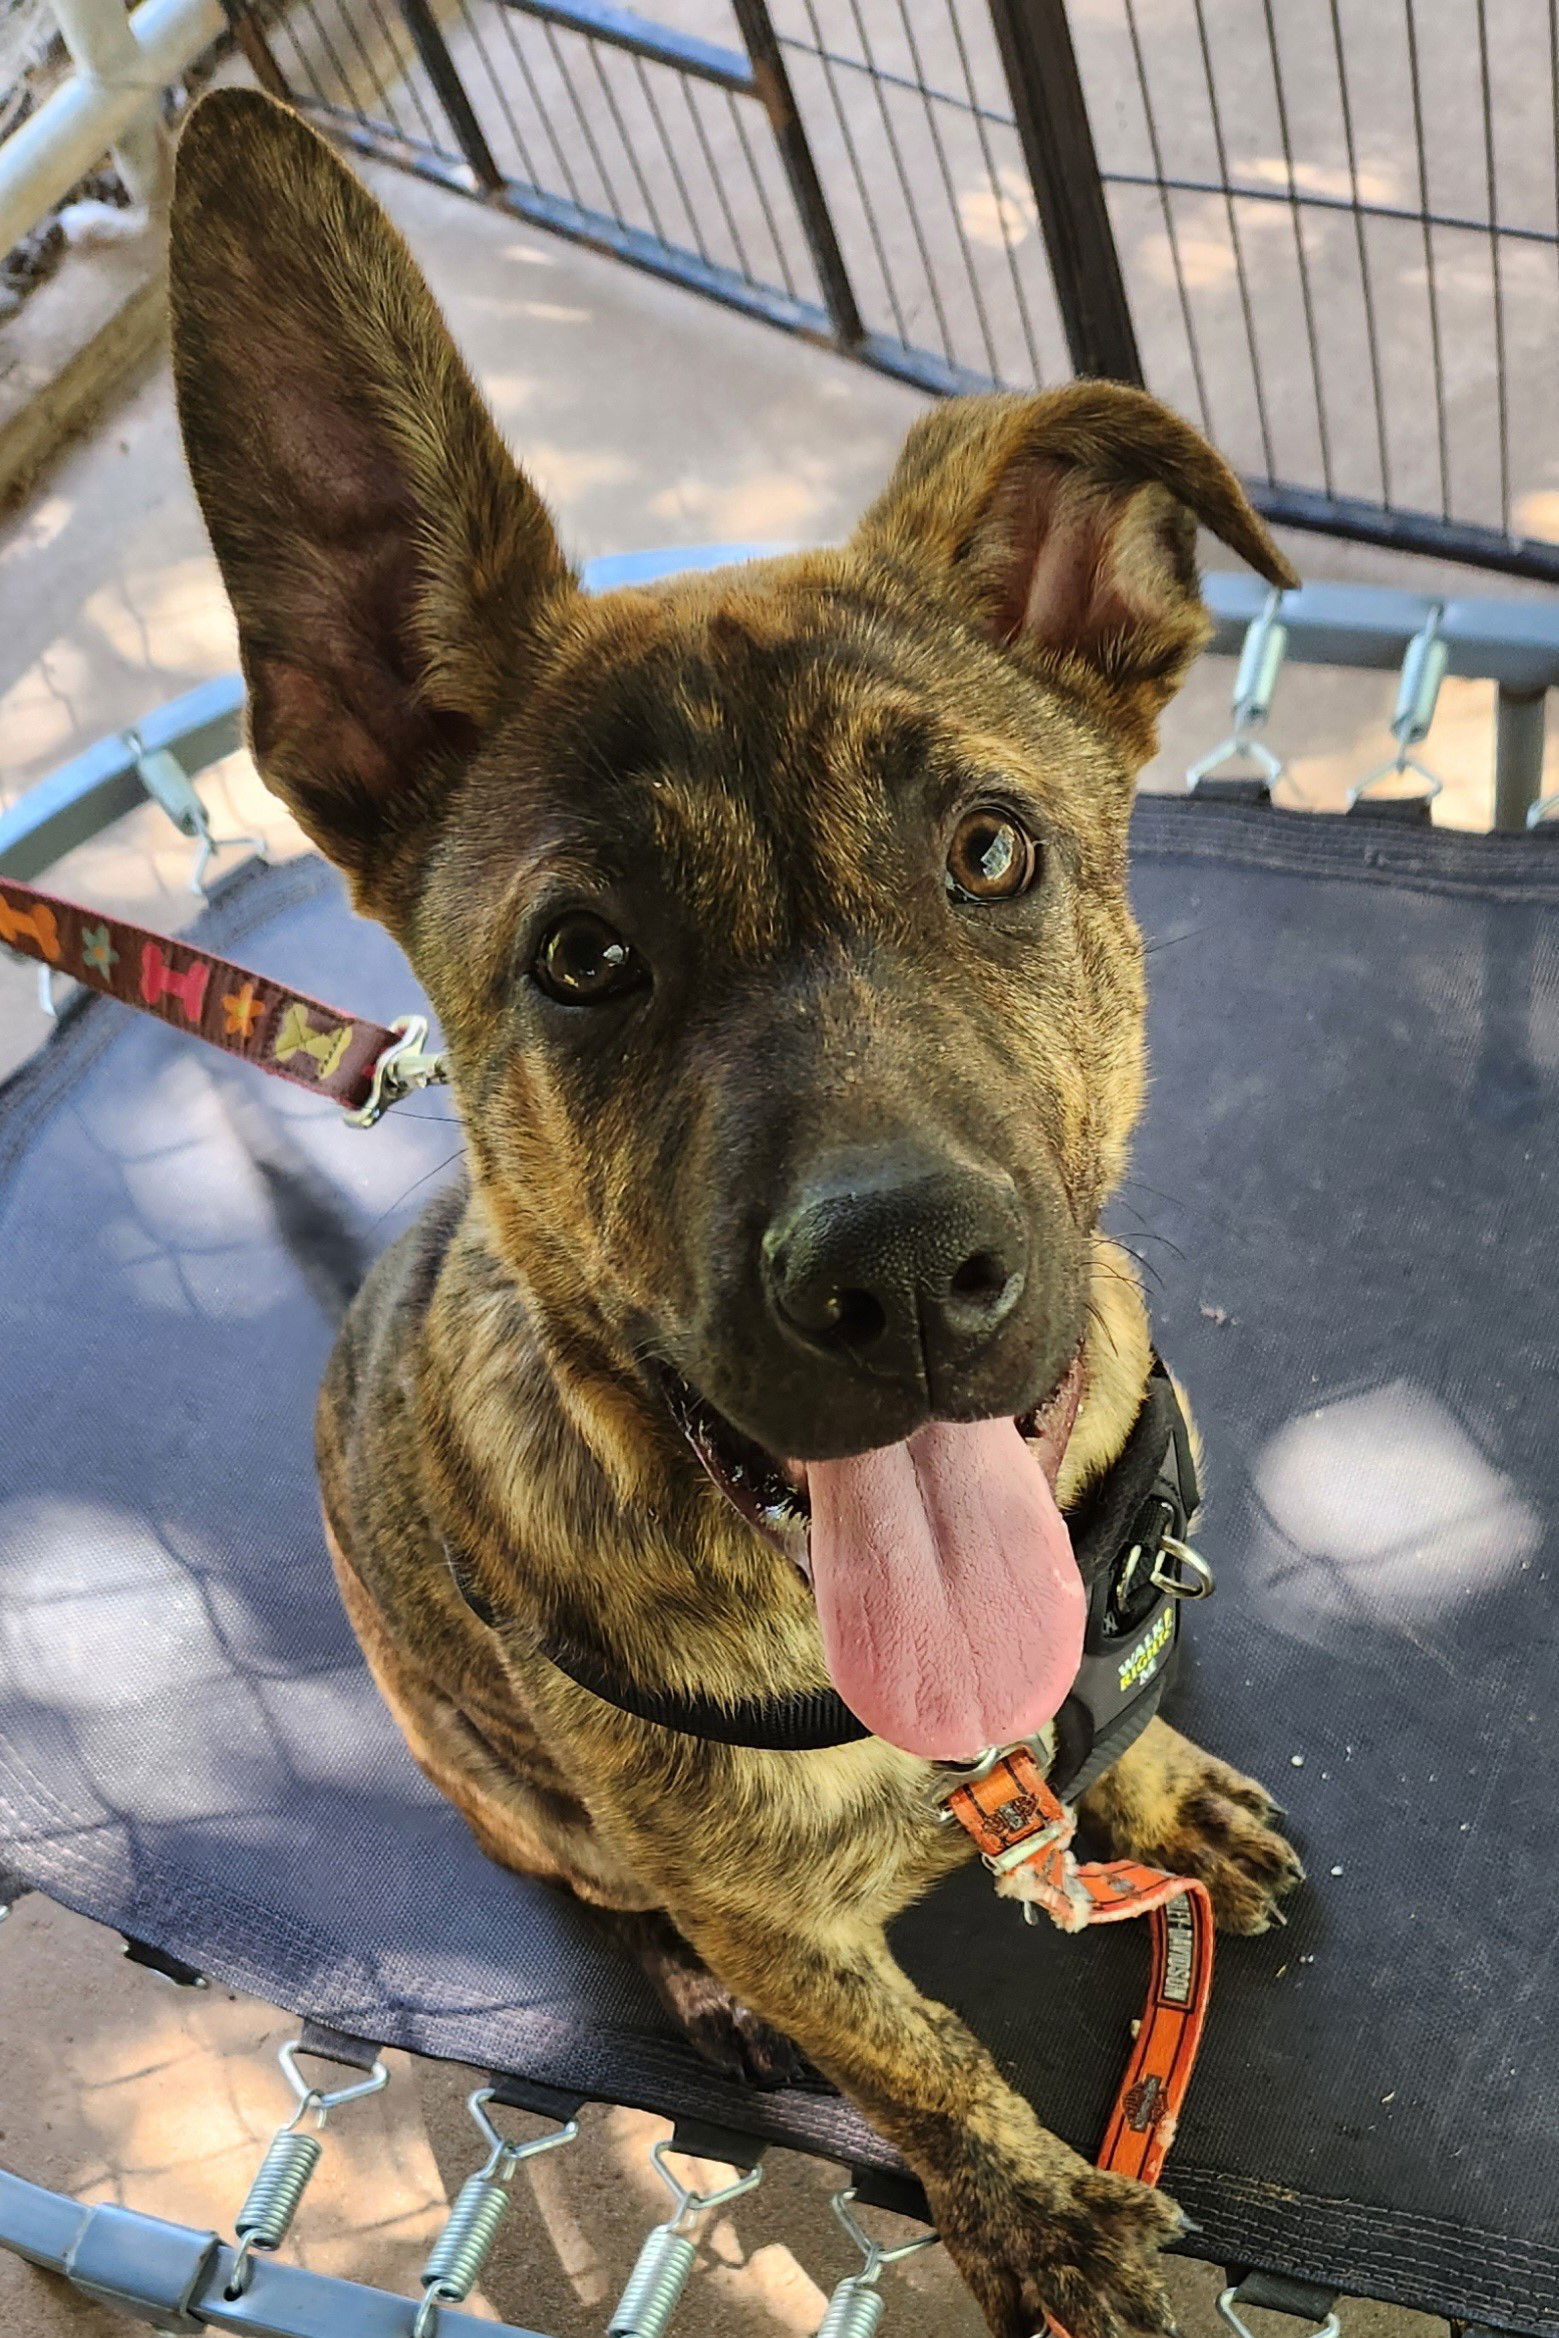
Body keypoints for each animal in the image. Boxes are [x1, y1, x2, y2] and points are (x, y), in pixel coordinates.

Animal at [170, 86, 1308, 2319]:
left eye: (988, 849)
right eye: (581, 957)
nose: (906, 1276)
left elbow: (1116, 1735)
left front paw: (1155, 1796)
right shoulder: (792, 1926)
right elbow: (919, 2053)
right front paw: (1033, 2212)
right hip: (505, 1795)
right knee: (625, 1899)